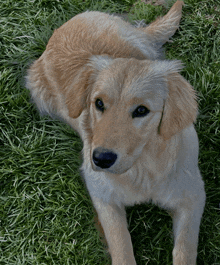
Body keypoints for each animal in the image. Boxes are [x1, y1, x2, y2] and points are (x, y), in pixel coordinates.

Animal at [25, 1, 206, 262]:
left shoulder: (192, 195)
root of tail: (64, 26)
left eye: (141, 110)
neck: (142, 168)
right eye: (98, 103)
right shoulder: (102, 195)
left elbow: (185, 249)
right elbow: (121, 245)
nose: (101, 159)